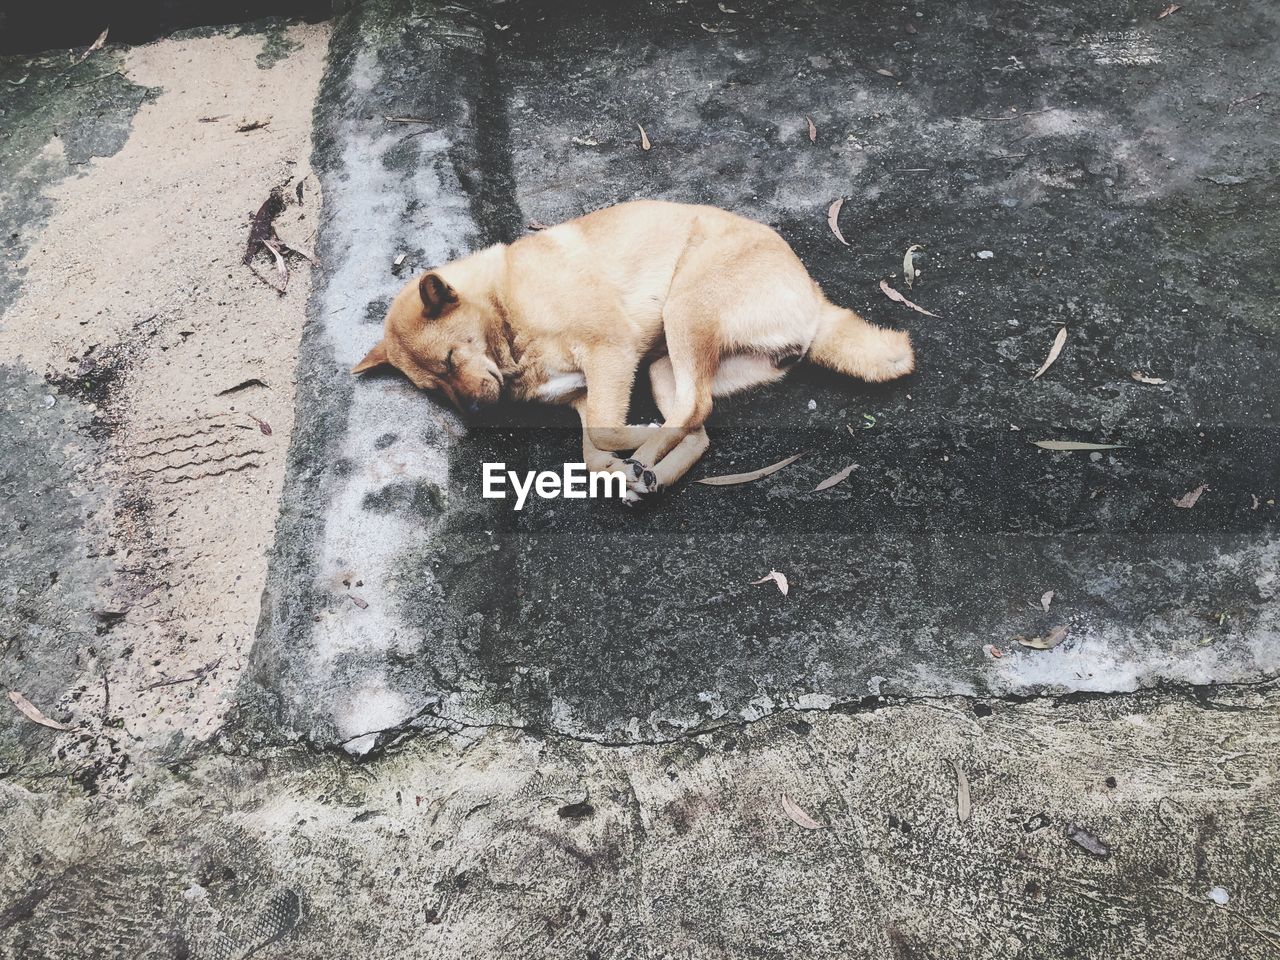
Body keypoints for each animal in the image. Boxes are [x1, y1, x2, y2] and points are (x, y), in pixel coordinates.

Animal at [350, 200, 911, 504]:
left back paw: (645, 459)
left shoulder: (611, 353)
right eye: (435, 389)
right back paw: (651, 472)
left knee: (695, 409)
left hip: (685, 311)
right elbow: (592, 454)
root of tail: (813, 294)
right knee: (698, 422)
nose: (473, 413)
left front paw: (634, 447)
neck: (505, 308)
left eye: (449, 358)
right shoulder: (583, 396)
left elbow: (603, 434)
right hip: (667, 366)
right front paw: (620, 467)